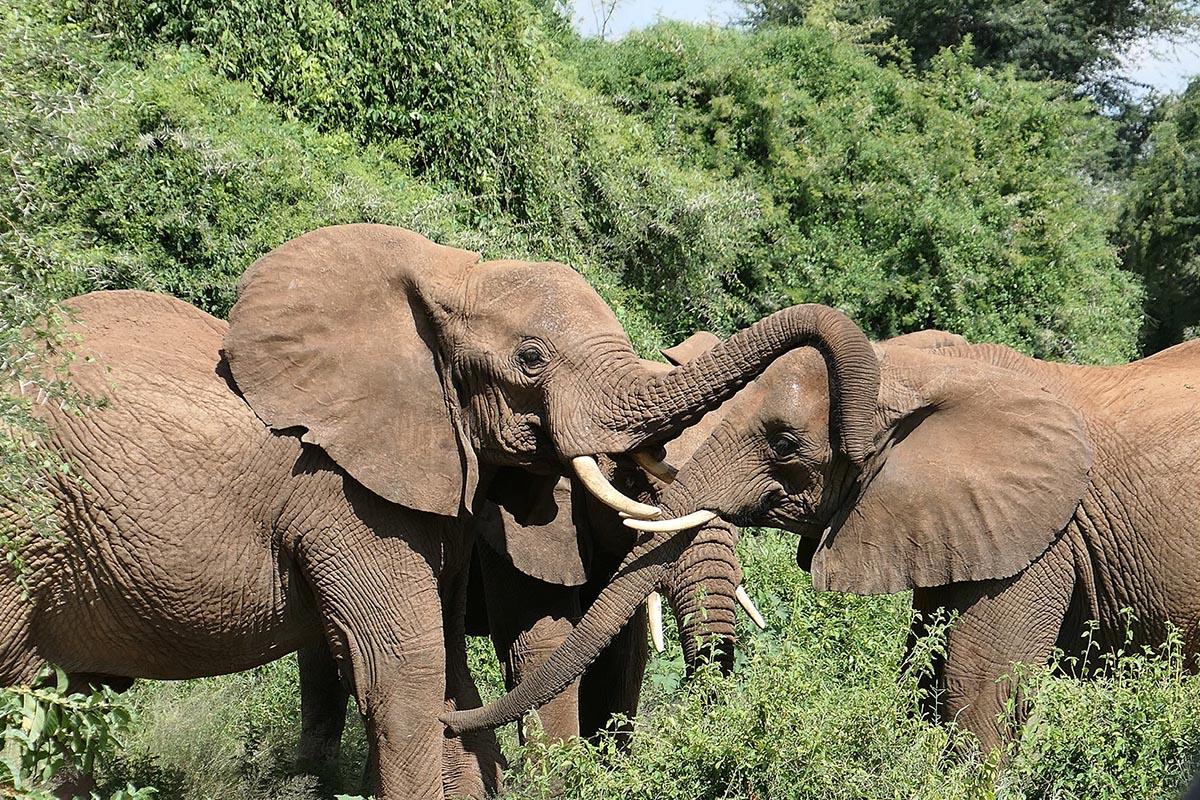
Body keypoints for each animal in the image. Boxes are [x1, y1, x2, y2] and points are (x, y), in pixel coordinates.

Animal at [0, 224, 878, 799]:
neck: (447, 279)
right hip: (24, 524)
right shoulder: (347, 492)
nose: (856, 439)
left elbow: (462, 665)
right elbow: (415, 665)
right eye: (530, 359)